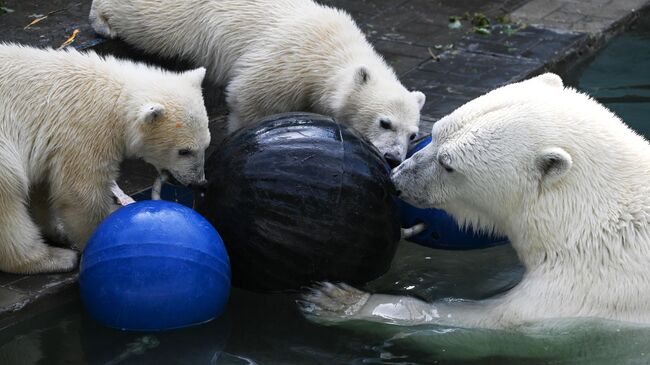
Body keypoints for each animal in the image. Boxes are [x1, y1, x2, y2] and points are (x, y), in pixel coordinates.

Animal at [0, 43, 208, 272]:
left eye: (206, 145)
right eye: (184, 151)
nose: (199, 182)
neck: (117, 97)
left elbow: (43, 185)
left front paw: (59, 229)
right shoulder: (84, 131)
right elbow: (81, 193)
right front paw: (95, 236)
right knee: (9, 191)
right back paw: (52, 258)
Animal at [91, 0, 426, 166]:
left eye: (412, 135)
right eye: (385, 122)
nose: (393, 157)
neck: (333, 51)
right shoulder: (289, 62)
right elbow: (251, 96)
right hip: (176, 18)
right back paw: (103, 20)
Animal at [298, 74, 650, 328]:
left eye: (448, 164)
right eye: (433, 135)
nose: (396, 180)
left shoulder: (586, 289)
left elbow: (484, 320)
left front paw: (340, 300)